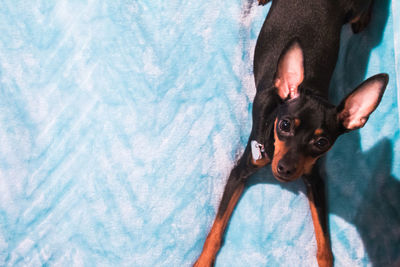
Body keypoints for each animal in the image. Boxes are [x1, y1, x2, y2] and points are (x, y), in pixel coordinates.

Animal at [194, 0, 388, 267]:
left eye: (322, 142)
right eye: (284, 125)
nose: (285, 169)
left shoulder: (314, 180)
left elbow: (324, 244)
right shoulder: (239, 172)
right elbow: (215, 230)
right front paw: (203, 261)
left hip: (354, 10)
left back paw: (363, 20)